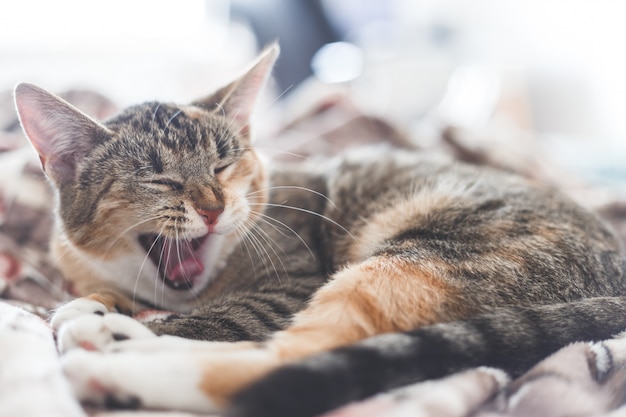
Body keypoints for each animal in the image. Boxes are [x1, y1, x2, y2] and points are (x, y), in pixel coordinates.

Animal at [11, 44, 626, 414]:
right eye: (160, 179)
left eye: (223, 165)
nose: (212, 206)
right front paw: (94, 301)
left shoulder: (292, 278)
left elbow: (231, 316)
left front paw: (100, 319)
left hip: (420, 258)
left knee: (287, 357)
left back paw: (113, 360)